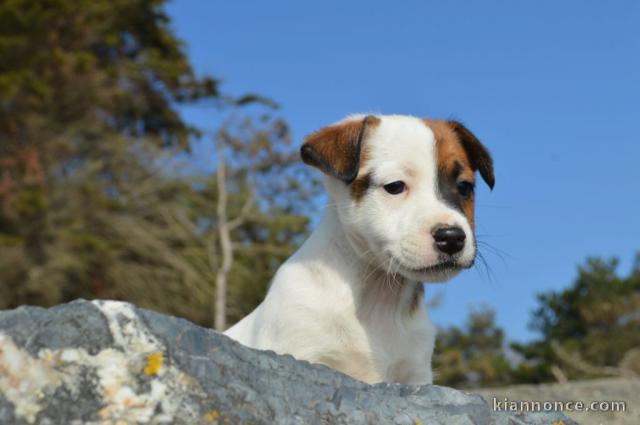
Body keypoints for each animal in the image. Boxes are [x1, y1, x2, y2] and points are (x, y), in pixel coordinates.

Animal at [225, 113, 496, 384]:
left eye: (464, 187)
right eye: (395, 186)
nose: (452, 238)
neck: (378, 298)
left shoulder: (415, 374)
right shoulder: (300, 352)